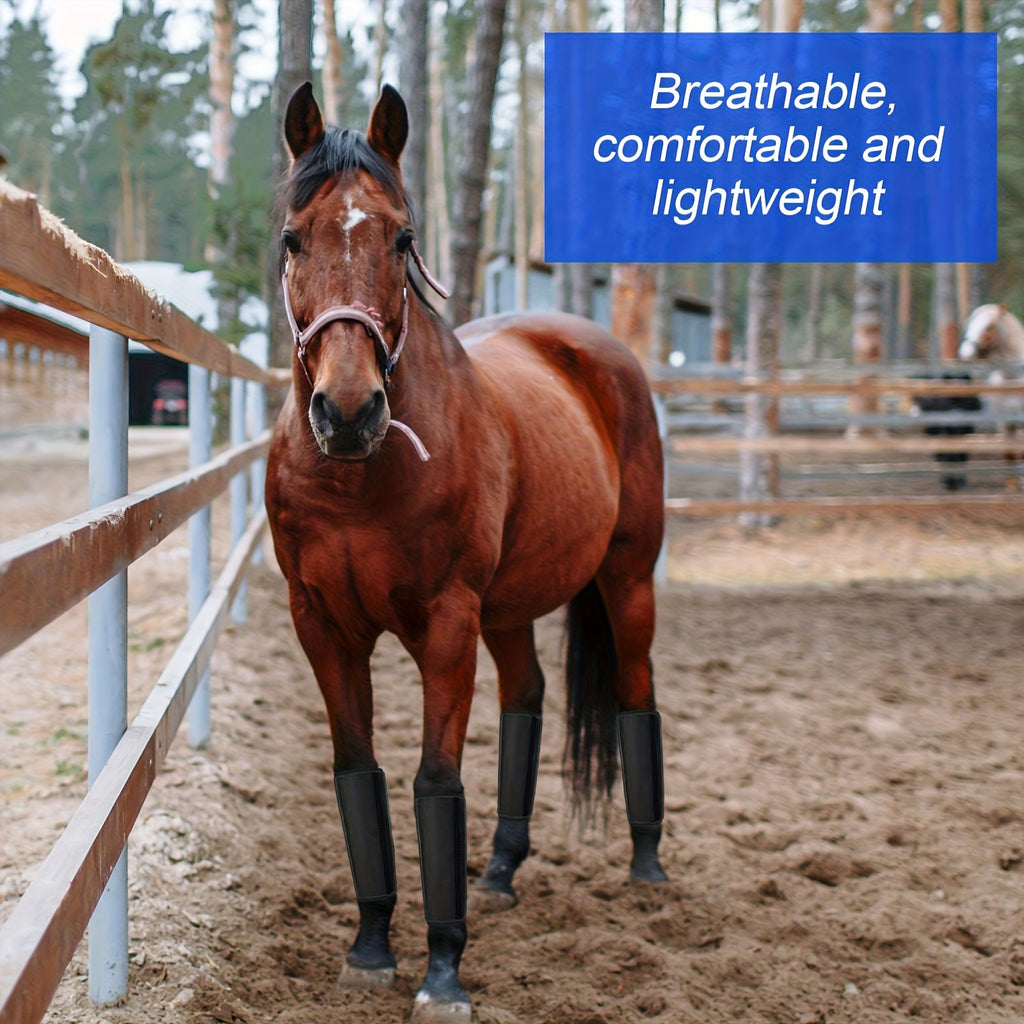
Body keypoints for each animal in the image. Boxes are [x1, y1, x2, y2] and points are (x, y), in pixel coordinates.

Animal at [265, 82, 667, 1022]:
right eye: (293, 238)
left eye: (401, 238)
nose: (348, 411)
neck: (358, 478)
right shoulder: (322, 628)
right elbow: (359, 775)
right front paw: (371, 946)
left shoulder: (446, 625)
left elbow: (434, 784)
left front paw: (443, 969)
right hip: (509, 610)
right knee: (527, 698)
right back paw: (500, 870)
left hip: (628, 580)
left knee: (636, 697)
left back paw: (645, 864)